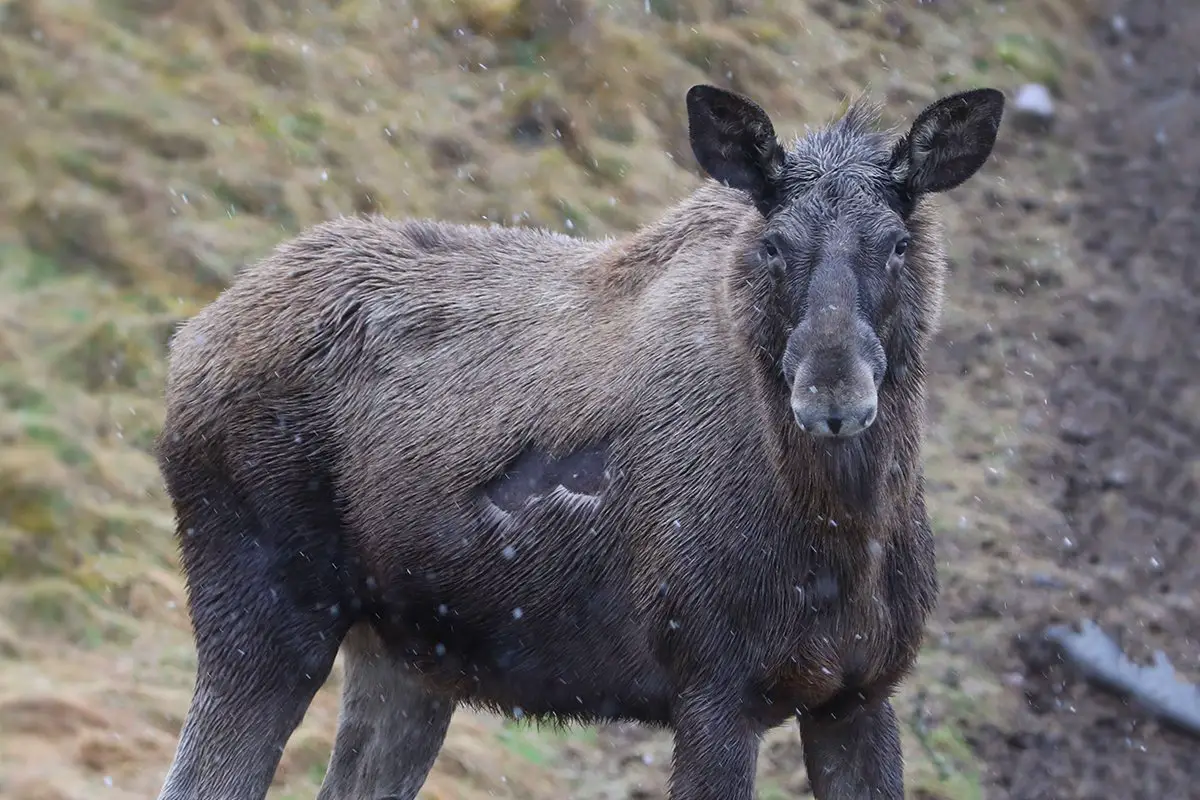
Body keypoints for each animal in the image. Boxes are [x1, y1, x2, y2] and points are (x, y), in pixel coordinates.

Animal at [157, 82, 1003, 800]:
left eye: (897, 243)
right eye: (773, 244)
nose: (833, 393)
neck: (845, 533)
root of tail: (187, 342)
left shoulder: (859, 693)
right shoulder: (714, 687)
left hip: (407, 654)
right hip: (264, 613)